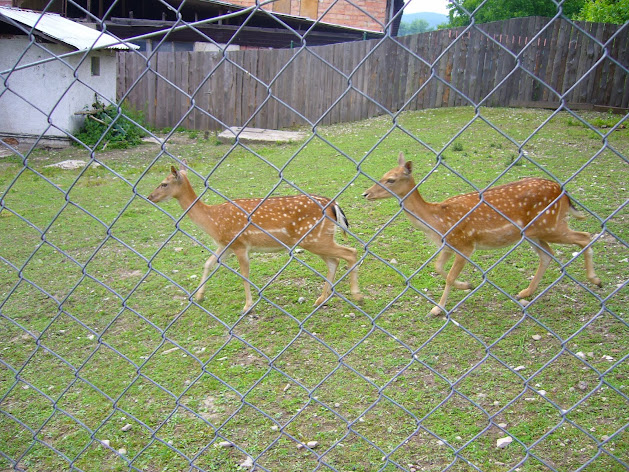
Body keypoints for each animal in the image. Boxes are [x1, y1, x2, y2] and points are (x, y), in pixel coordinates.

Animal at [148, 164, 364, 312]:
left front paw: (247, 306)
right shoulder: (225, 244)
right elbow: (208, 263)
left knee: (350, 252)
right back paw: (321, 299)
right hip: (319, 238)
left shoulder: (239, 245)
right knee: (334, 261)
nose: (150, 197)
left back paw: (356, 295)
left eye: (164, 183)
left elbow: (244, 274)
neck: (213, 221)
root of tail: (333, 204)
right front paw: (199, 296)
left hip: (314, 238)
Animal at [360, 153, 600, 316]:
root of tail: (564, 193)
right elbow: (438, 267)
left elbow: (448, 275)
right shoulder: (449, 244)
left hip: (551, 225)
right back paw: (525, 293)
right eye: (382, 175)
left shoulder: (465, 243)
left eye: (391, 179)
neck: (437, 221)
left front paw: (438, 309)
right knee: (548, 255)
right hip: (534, 232)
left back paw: (595, 279)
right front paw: (466, 285)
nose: (366, 194)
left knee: (585, 236)